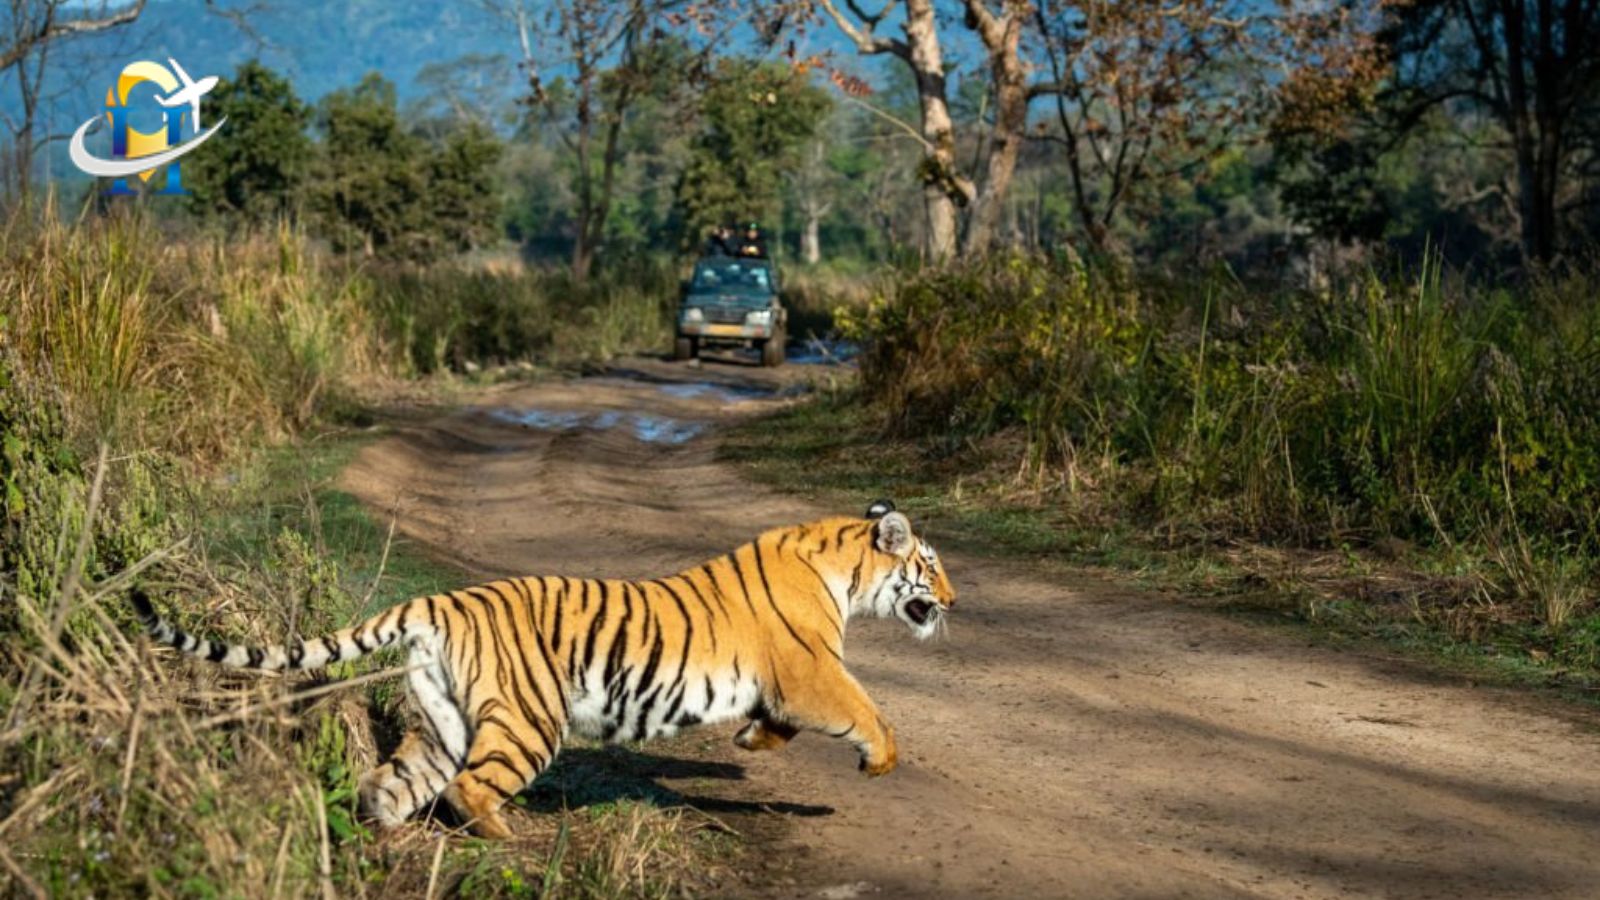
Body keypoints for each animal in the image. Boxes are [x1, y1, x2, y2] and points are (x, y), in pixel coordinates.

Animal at [129, 500, 955, 839]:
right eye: (931, 565)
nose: (953, 599)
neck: (845, 569)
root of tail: (439, 599)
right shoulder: (812, 670)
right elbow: (866, 709)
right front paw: (880, 761)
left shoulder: (786, 683)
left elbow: (779, 724)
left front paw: (752, 743)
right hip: (530, 717)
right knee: (468, 788)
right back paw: (508, 838)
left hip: (441, 719)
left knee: (390, 782)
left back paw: (385, 835)